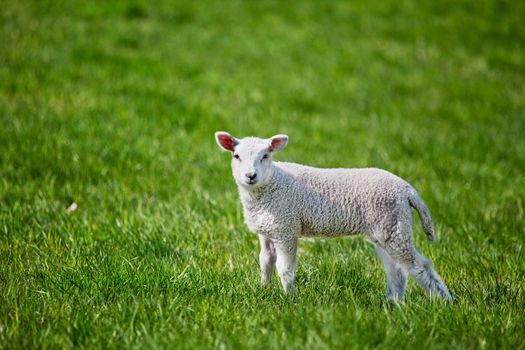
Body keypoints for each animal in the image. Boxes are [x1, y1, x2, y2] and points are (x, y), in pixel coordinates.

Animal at [213, 133, 450, 302]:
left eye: (265, 156)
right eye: (236, 156)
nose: (250, 176)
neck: (271, 185)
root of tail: (407, 189)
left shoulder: (286, 228)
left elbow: (285, 269)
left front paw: (290, 301)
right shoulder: (268, 229)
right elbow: (266, 263)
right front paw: (263, 291)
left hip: (394, 227)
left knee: (419, 266)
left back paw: (444, 302)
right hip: (387, 228)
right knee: (396, 270)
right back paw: (394, 304)